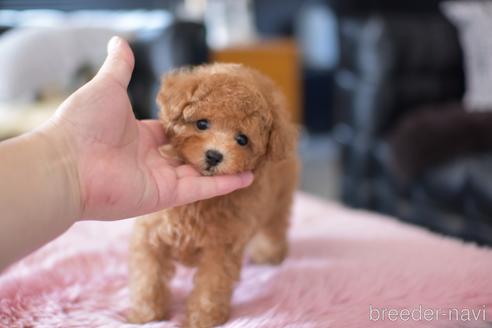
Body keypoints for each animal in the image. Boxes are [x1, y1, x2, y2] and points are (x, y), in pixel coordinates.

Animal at [129, 62, 298, 326]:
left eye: (242, 139)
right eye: (201, 124)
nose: (214, 156)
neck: (200, 203)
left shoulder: (222, 246)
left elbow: (212, 282)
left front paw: (202, 317)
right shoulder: (151, 232)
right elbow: (148, 274)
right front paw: (145, 313)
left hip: (279, 199)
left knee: (274, 227)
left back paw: (268, 253)